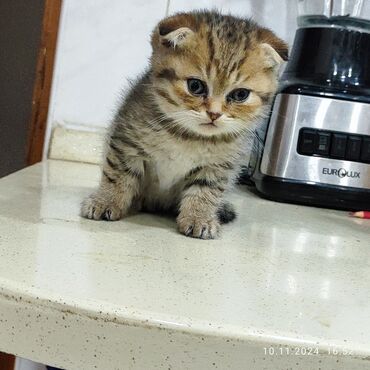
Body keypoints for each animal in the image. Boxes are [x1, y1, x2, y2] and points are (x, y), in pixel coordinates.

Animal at [81, 10, 290, 240]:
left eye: (240, 95)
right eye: (195, 86)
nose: (214, 114)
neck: (188, 136)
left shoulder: (218, 165)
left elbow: (206, 190)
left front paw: (199, 217)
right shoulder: (127, 142)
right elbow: (118, 174)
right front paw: (106, 201)